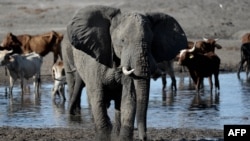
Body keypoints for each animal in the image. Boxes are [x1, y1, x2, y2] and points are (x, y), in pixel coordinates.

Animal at [62, 4, 188, 141]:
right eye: (122, 41)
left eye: (151, 42)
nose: (144, 137)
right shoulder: (94, 62)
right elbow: (97, 96)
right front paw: (104, 136)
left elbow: (129, 97)